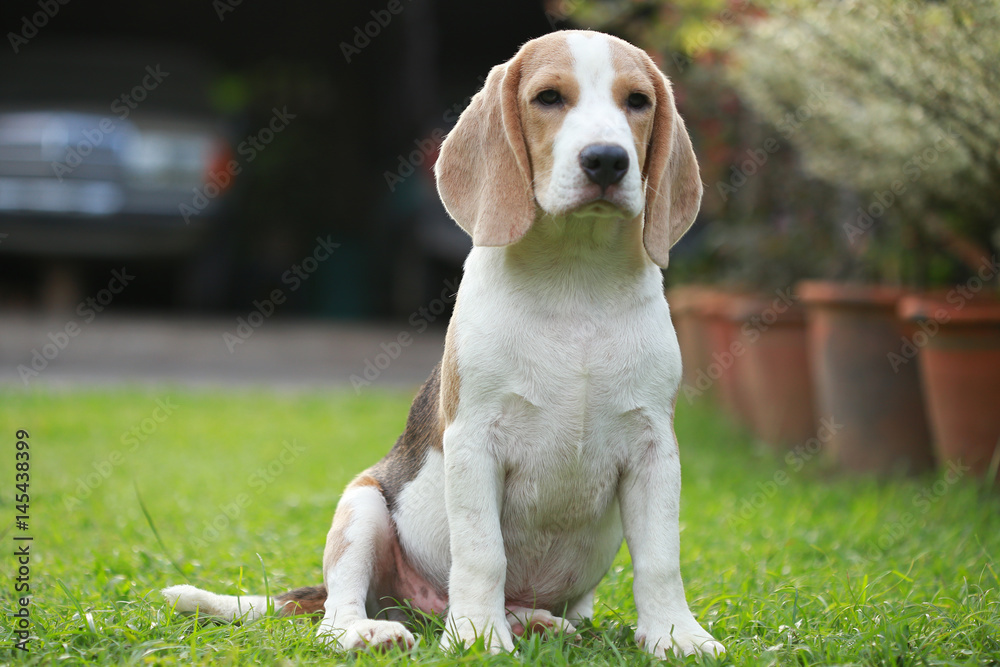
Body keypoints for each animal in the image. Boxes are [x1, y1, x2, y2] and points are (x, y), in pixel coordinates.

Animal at [166, 30, 728, 656]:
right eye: (549, 97)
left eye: (637, 101)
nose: (607, 159)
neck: (575, 278)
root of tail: (416, 609)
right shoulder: (474, 442)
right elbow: (483, 554)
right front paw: (480, 637)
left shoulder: (655, 449)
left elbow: (660, 560)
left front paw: (675, 635)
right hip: (363, 504)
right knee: (337, 611)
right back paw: (375, 631)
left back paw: (531, 622)